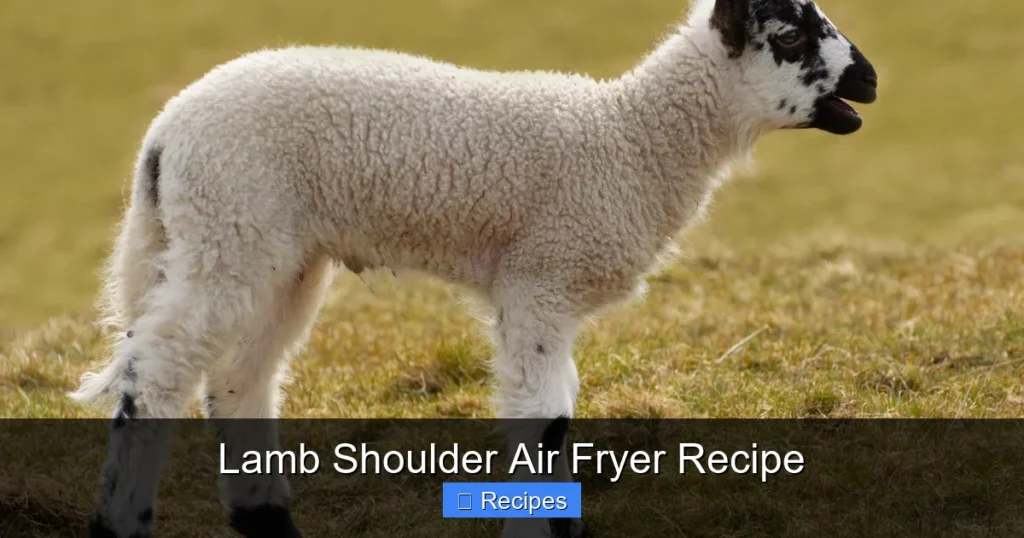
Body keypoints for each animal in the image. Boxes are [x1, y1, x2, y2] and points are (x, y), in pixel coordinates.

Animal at [71, 0, 877, 536]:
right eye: (792, 34)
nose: (868, 82)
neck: (633, 139)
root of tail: (165, 133)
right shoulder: (540, 281)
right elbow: (542, 418)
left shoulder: (544, 291)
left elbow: (558, 410)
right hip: (229, 227)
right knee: (157, 372)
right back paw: (124, 520)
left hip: (275, 249)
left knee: (242, 376)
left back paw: (265, 517)